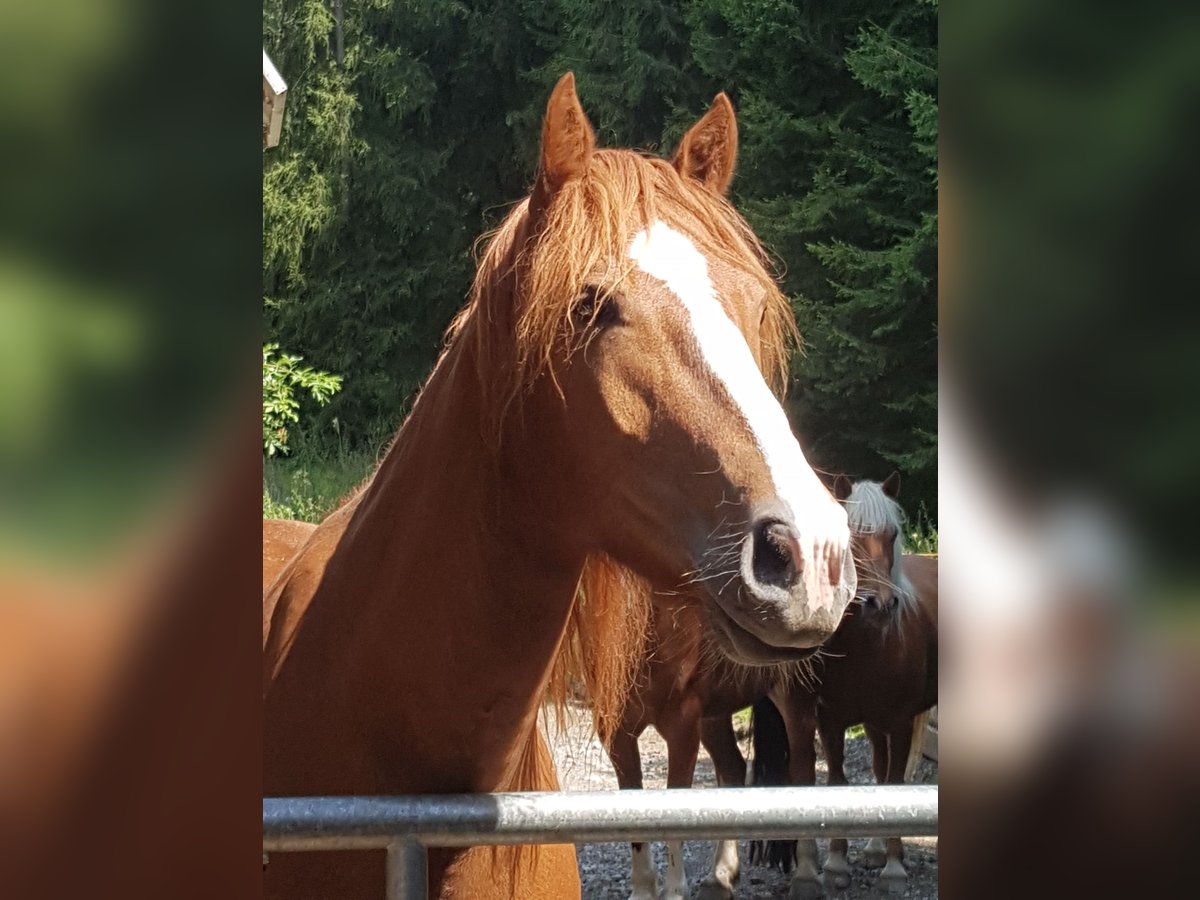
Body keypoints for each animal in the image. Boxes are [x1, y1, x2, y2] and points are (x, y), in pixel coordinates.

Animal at [748, 475, 936, 897]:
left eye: (893, 534)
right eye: (850, 538)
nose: (880, 604)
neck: (864, 645)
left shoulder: (900, 722)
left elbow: (894, 784)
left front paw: (894, 870)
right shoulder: (830, 722)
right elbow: (838, 783)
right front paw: (835, 865)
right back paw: (872, 851)